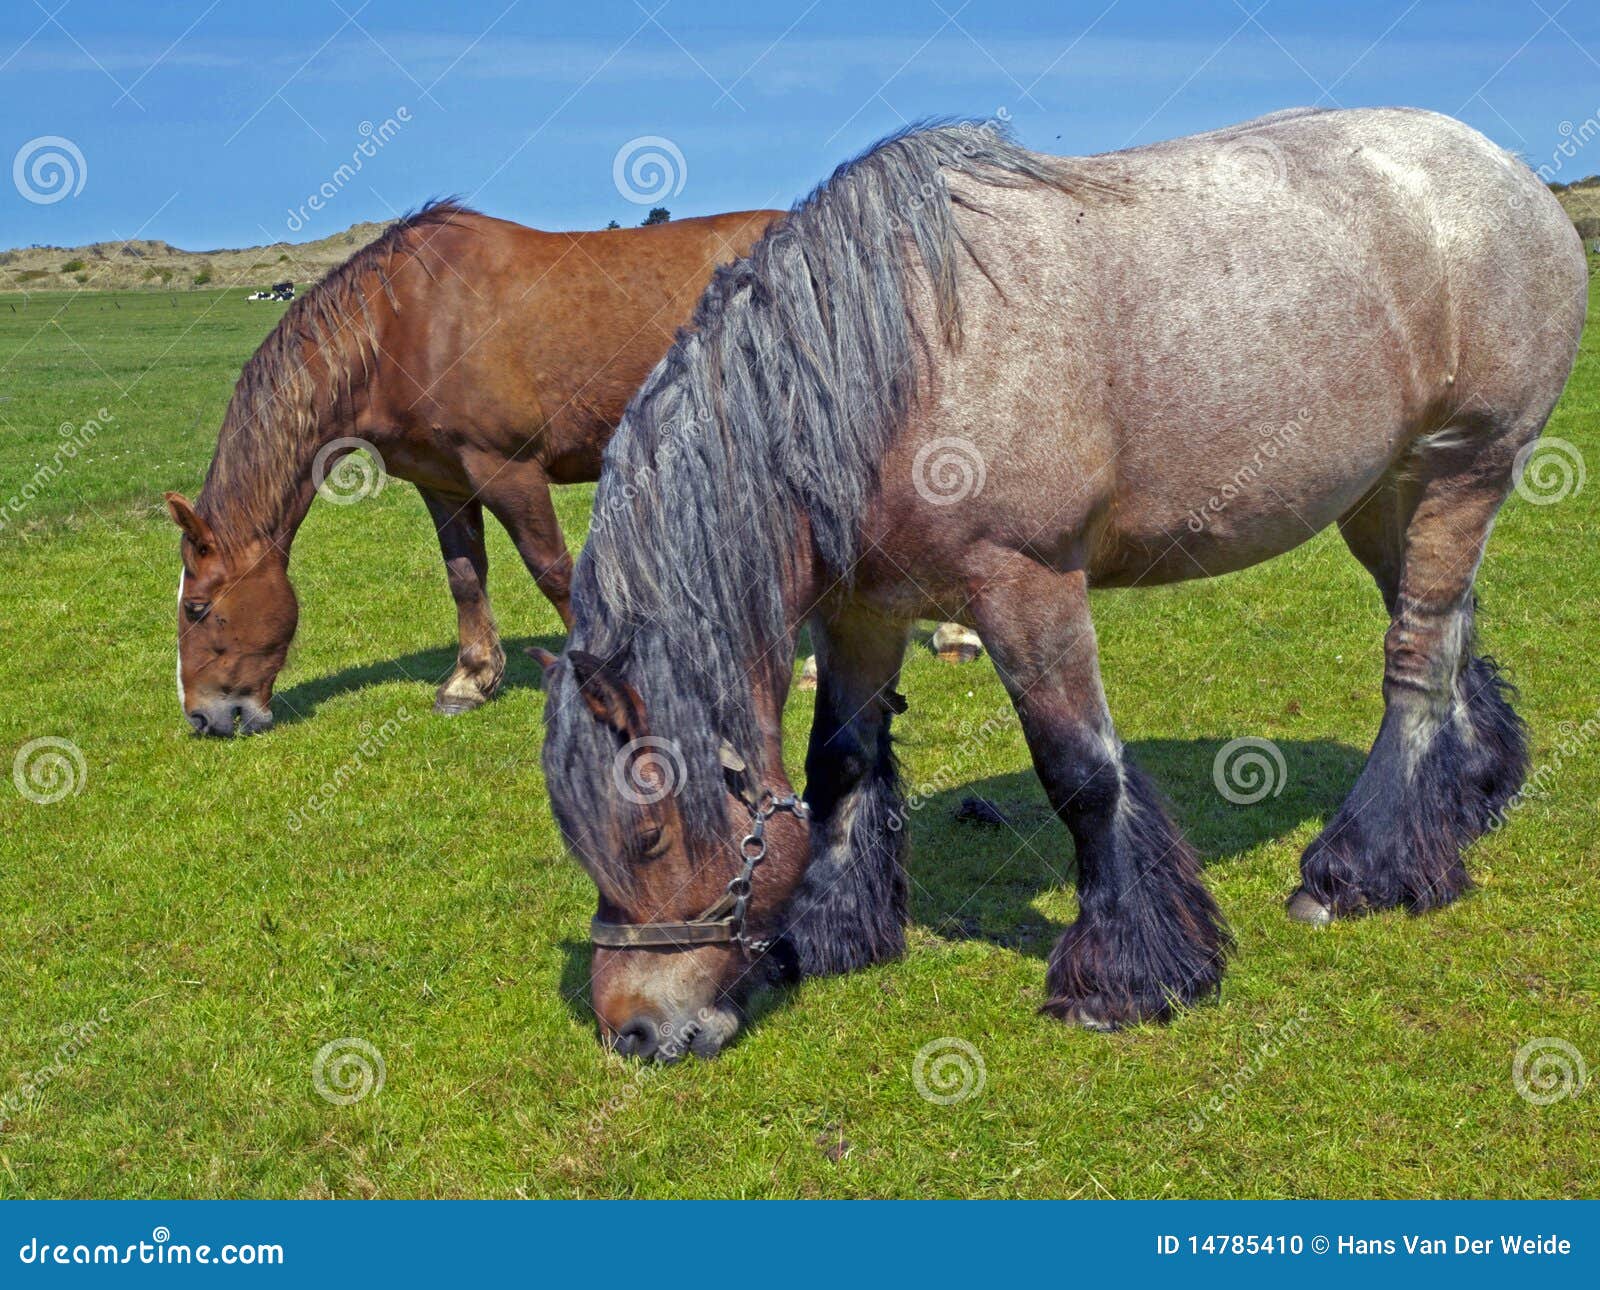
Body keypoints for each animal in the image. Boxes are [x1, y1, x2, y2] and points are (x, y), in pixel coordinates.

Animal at [165, 202, 777, 735]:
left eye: (197, 608)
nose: (202, 717)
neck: (400, 329)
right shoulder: (443, 483)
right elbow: (464, 576)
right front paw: (472, 679)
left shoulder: (509, 472)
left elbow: (553, 571)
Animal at [537, 109, 1586, 1060]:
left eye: (649, 839)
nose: (634, 1032)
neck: (894, 370)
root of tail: (1510, 174)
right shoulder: (863, 609)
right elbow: (840, 758)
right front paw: (832, 930)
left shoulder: (1026, 585)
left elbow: (1081, 773)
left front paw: (1126, 975)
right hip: (1383, 496)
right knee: (1446, 631)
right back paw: (1469, 790)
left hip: (1467, 469)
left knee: (1417, 657)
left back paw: (1362, 867)